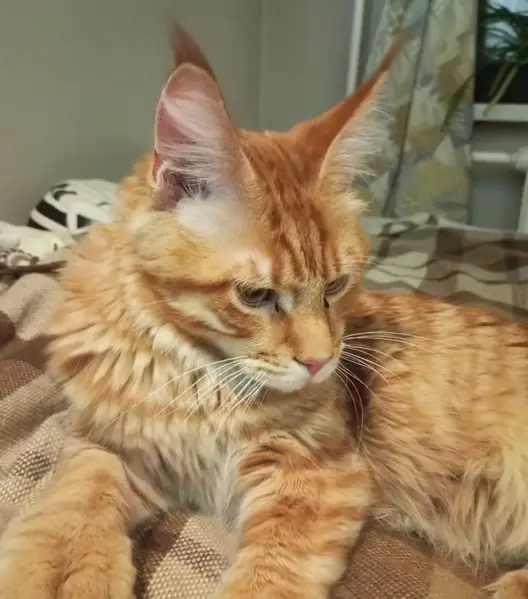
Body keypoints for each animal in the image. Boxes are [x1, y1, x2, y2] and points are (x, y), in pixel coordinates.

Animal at [0, 24, 527, 599]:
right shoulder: (109, 442)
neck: (197, 376)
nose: (321, 362)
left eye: (336, 286)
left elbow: (267, 578)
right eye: (255, 296)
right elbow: (72, 504)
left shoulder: (316, 470)